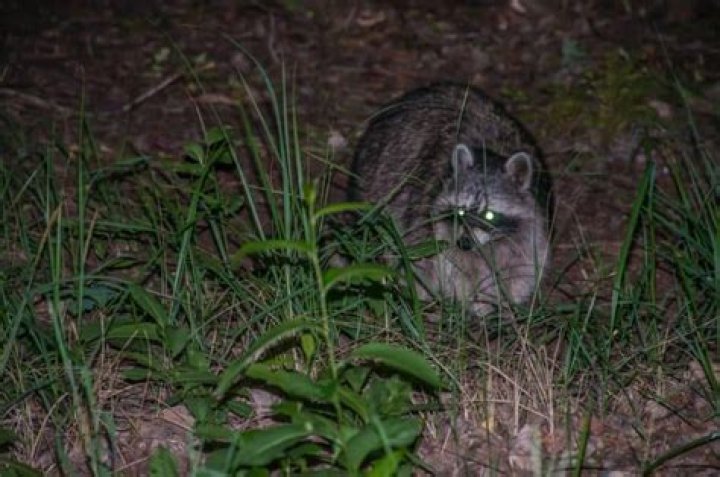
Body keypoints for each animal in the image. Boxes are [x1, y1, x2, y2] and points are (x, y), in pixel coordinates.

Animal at [349, 83, 551, 316]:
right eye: (460, 211)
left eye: (489, 215)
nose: (464, 243)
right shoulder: (428, 214)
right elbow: (443, 264)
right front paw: (464, 299)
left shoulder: (533, 220)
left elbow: (524, 266)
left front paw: (504, 302)